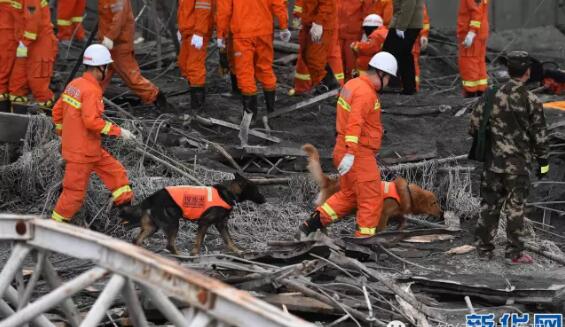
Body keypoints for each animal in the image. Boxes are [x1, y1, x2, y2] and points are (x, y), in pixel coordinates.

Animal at [117, 174, 266, 256]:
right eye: (256, 190)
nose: (265, 200)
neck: (228, 193)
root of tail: (151, 198)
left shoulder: (221, 224)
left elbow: (229, 240)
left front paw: (237, 251)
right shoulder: (205, 222)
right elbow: (199, 241)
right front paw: (194, 254)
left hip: (153, 227)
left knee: (137, 240)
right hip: (173, 223)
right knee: (169, 245)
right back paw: (180, 256)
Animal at [302, 144, 442, 233]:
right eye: (434, 203)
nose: (442, 213)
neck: (407, 193)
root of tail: (330, 181)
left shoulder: (396, 213)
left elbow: (402, 221)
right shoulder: (383, 213)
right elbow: (381, 226)